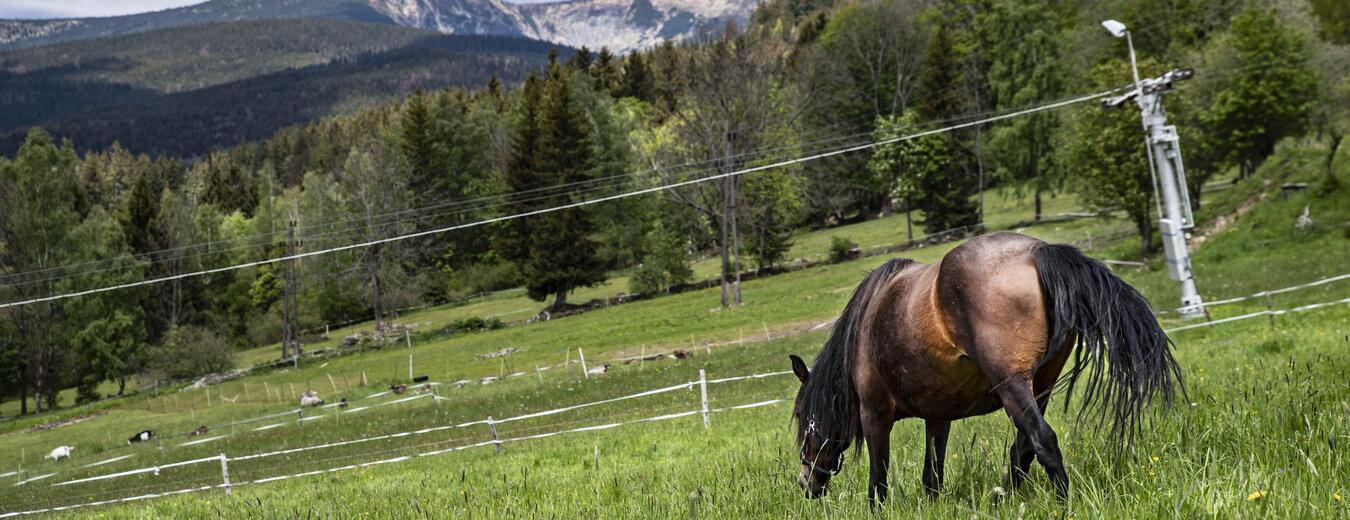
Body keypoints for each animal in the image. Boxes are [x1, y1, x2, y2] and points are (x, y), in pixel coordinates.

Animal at [788, 232, 1182, 499]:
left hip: (1012, 385)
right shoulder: (938, 418)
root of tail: (1037, 252)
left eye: (804, 420)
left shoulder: (874, 414)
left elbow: (878, 482)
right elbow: (932, 477)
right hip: (1040, 386)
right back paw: (1003, 499)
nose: (806, 483)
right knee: (1023, 449)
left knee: (1042, 440)